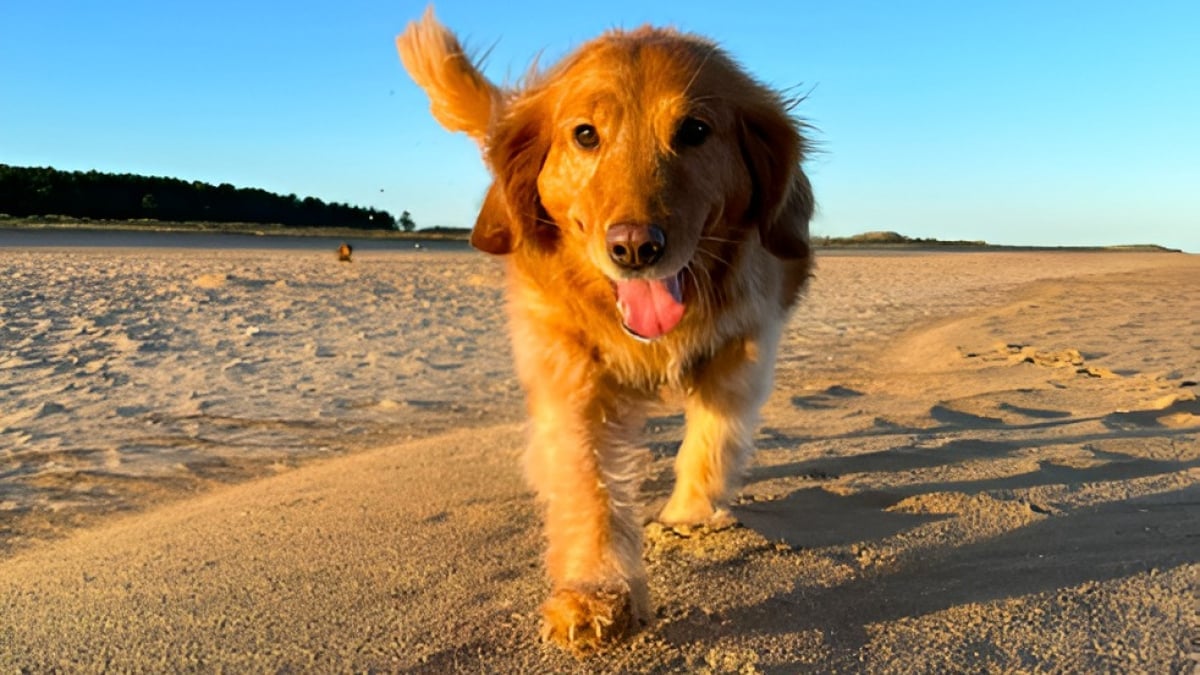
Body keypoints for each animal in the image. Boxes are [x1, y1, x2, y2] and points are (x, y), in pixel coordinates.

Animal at [393, 9, 816, 653]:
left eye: (694, 130)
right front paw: (594, 593)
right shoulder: (570, 373)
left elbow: (711, 442)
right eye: (586, 134)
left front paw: (689, 518)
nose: (635, 248)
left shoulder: (742, 346)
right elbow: (585, 483)